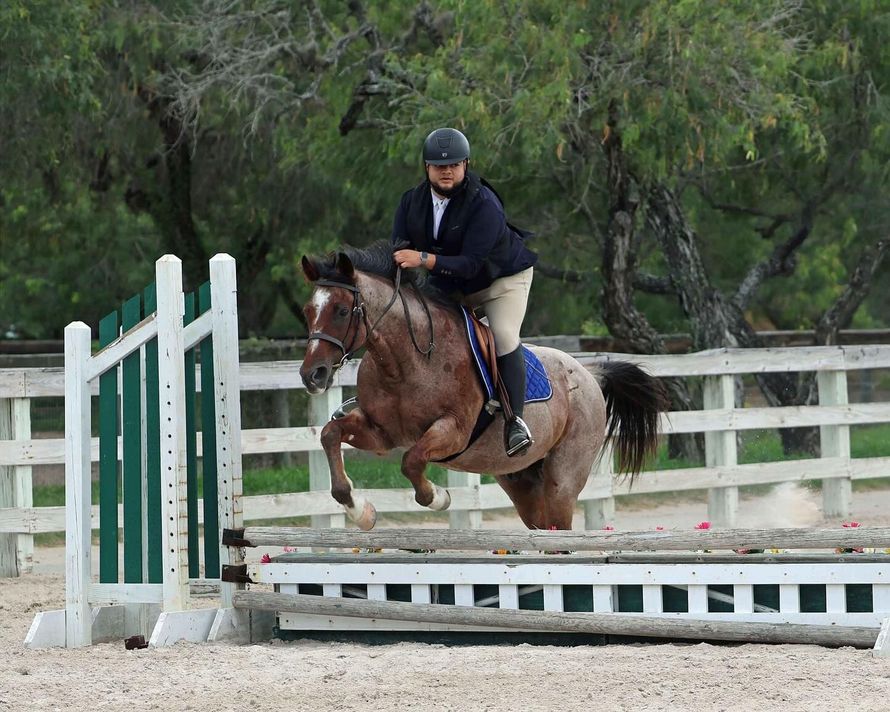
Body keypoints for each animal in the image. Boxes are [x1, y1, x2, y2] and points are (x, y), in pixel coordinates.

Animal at [299, 242, 668, 530]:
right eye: (307, 311)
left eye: (342, 310)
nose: (311, 375)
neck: (405, 362)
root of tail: (589, 373)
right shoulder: (382, 434)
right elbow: (330, 435)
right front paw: (361, 512)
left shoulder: (453, 431)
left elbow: (412, 461)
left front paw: (439, 497)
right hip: (522, 481)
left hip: (562, 480)